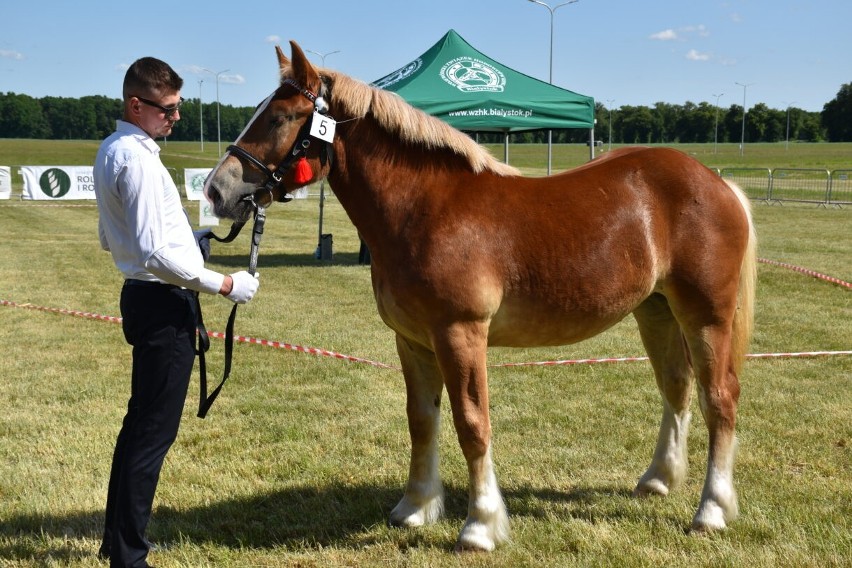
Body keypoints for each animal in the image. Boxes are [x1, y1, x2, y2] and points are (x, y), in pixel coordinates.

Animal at [201, 41, 760, 556]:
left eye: (280, 117)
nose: (215, 191)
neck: (424, 209)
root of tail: (718, 184)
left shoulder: (460, 334)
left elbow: (472, 425)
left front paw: (480, 527)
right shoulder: (413, 341)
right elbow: (422, 421)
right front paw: (415, 508)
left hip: (706, 317)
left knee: (719, 398)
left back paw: (711, 511)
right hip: (656, 311)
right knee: (676, 389)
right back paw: (658, 480)